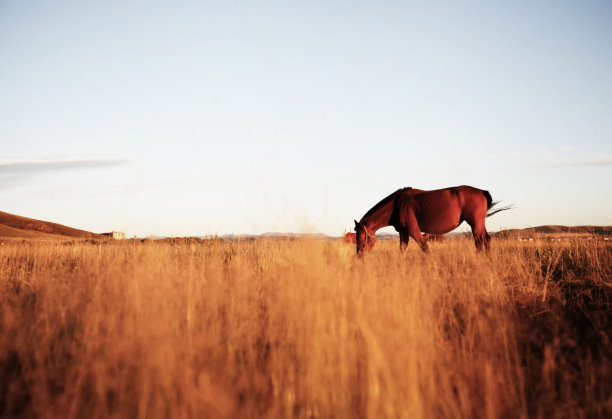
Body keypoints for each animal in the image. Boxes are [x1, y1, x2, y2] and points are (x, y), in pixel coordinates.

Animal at [354, 187, 512, 256]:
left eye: (360, 237)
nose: (359, 256)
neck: (397, 205)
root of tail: (481, 191)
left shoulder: (414, 231)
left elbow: (425, 248)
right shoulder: (404, 233)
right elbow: (402, 251)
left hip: (475, 223)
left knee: (479, 241)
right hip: (479, 223)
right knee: (486, 240)